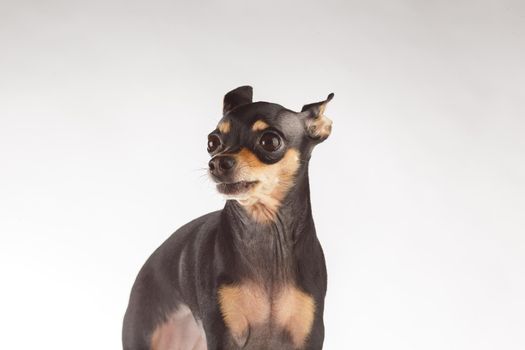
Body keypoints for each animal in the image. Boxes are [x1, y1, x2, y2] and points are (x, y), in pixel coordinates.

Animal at [124, 85, 332, 350]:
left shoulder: (309, 335)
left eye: (270, 141)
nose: (217, 163)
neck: (266, 231)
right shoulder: (222, 333)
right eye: (212, 142)